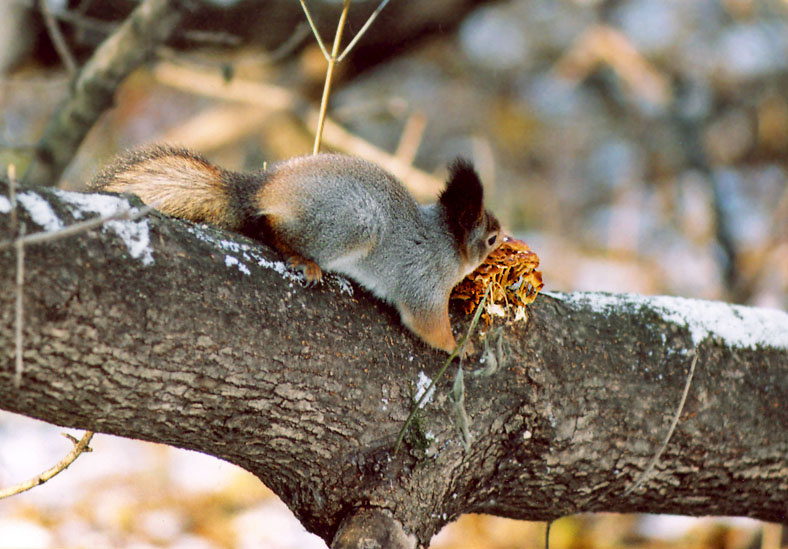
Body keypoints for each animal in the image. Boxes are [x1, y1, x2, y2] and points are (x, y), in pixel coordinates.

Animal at [91, 145, 502, 353]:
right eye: (492, 238)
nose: (508, 240)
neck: (444, 242)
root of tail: (260, 190)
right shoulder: (424, 280)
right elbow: (427, 324)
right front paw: (461, 347)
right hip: (353, 224)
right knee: (274, 230)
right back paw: (303, 259)